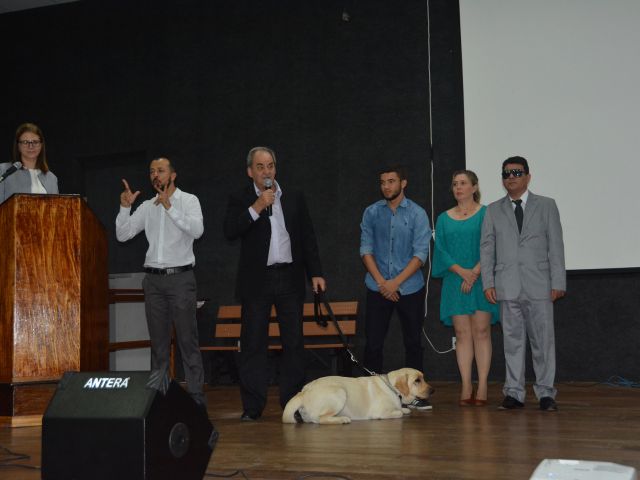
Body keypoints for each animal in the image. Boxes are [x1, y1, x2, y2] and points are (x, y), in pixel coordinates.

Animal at [282, 368, 428, 424]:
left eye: (423, 378)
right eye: (417, 381)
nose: (432, 390)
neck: (391, 388)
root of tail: (304, 391)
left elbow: (403, 409)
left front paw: (405, 408)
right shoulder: (380, 412)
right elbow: (399, 413)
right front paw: (402, 410)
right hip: (340, 392)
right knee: (321, 419)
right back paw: (342, 419)